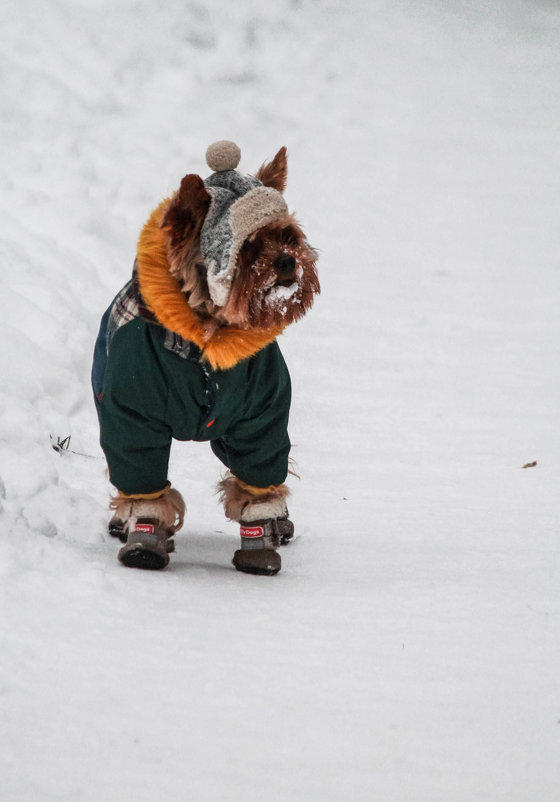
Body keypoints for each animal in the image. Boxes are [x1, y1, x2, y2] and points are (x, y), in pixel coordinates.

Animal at [92, 141, 320, 572]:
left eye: (287, 236)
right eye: (249, 247)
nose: (287, 260)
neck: (207, 339)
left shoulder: (260, 419)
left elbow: (260, 474)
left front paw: (259, 542)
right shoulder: (132, 415)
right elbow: (139, 470)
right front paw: (145, 537)